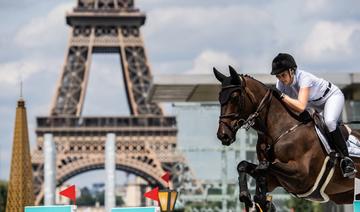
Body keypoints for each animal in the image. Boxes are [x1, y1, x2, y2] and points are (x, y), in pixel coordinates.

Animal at [212, 65, 360, 211]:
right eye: (219, 97)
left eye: (235, 97)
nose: (223, 135)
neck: (279, 131)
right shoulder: (275, 180)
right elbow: (243, 165)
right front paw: (248, 197)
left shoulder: (301, 175)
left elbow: (264, 167)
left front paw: (258, 199)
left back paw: (348, 165)